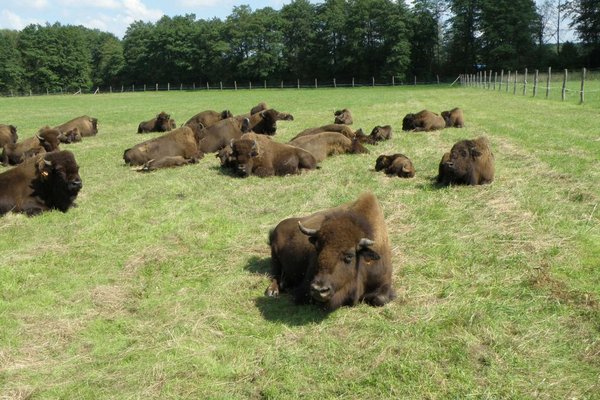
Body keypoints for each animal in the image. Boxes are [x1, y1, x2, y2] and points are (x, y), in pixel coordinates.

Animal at [266, 191, 396, 310]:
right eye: (317, 248)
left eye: (349, 255)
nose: (319, 290)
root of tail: (277, 227)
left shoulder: (384, 281)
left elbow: (380, 299)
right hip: (275, 258)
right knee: (275, 276)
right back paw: (273, 291)